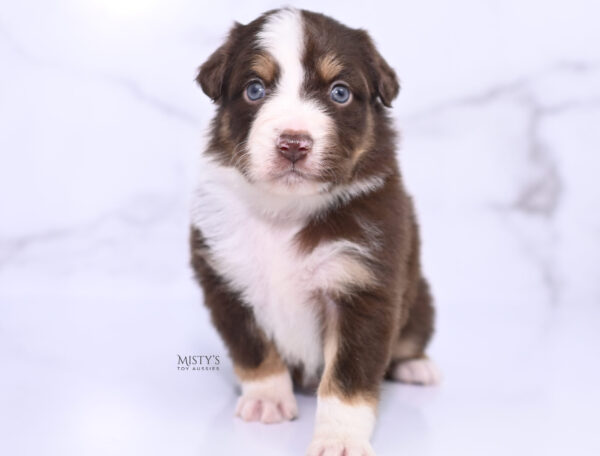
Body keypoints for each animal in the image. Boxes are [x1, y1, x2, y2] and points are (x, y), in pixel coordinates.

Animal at [192, 8, 440, 456]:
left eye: (339, 93)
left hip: (420, 300)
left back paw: (417, 366)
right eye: (255, 89)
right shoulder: (224, 277)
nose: (294, 143)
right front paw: (267, 400)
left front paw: (339, 438)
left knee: (409, 340)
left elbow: (348, 377)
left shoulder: (365, 288)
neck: (285, 211)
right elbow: (253, 349)